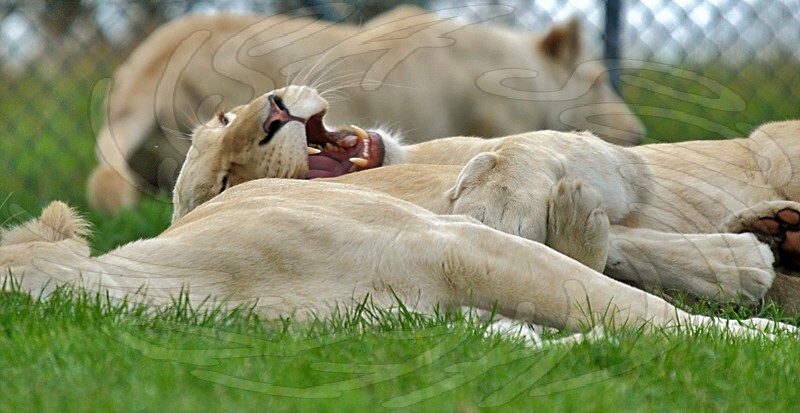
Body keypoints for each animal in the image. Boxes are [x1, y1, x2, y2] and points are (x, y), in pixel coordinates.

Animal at [172, 85, 800, 311]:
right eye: (224, 184)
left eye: (224, 118)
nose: (274, 113)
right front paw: (744, 261)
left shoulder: (620, 161)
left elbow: (519, 148)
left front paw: (495, 199)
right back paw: (780, 234)